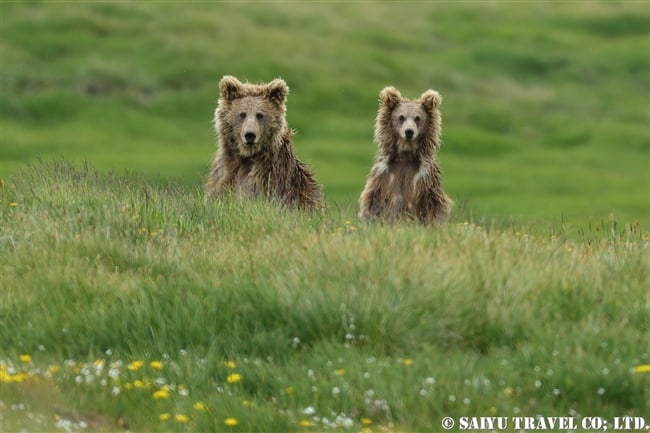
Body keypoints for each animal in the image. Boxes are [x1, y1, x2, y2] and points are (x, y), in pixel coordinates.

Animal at [205, 76, 322, 211]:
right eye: (242, 114)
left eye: (260, 115)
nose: (250, 135)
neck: (246, 157)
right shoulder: (225, 172)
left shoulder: (270, 178)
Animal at [356, 86, 448, 224]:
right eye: (401, 117)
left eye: (417, 118)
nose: (409, 131)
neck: (406, 154)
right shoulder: (383, 173)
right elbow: (374, 198)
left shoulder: (425, 175)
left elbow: (432, 202)